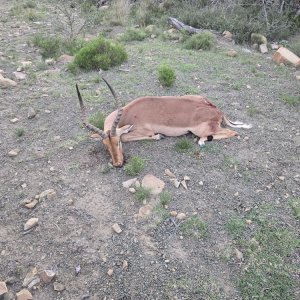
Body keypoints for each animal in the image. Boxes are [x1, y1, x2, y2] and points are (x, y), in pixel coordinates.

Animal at [75, 79, 251, 168]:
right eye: (106, 145)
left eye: (117, 142)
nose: (118, 164)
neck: (129, 113)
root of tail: (218, 111)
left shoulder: (142, 131)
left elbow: (130, 136)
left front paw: (159, 136)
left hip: (204, 129)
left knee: (233, 132)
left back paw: (201, 141)